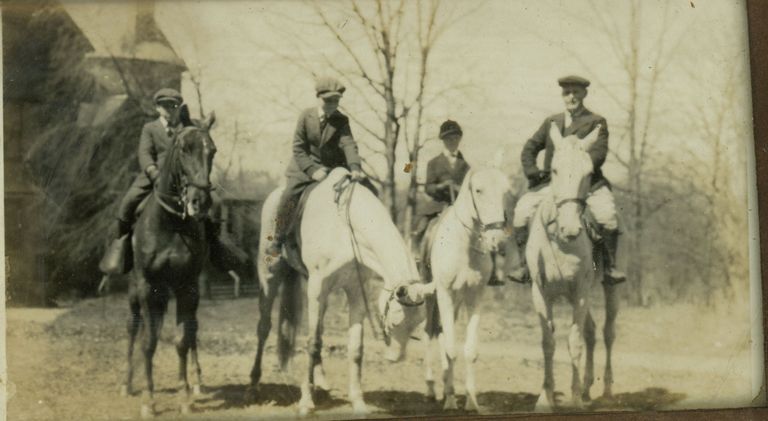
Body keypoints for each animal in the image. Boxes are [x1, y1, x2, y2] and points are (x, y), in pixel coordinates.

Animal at [121, 113, 217, 418]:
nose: (200, 201)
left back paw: (197, 382)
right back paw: (127, 383)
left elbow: (182, 340)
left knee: (193, 331)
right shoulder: (148, 287)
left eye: (212, 151)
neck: (171, 223)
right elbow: (148, 342)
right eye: (184, 149)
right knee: (133, 329)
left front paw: (184, 395)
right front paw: (149, 401)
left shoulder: (188, 288)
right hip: (136, 294)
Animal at [248, 168, 434, 416]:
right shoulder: (317, 288)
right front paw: (306, 402)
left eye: (417, 324)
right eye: (395, 321)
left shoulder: (356, 292)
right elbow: (312, 342)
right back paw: (253, 385)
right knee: (264, 327)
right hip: (270, 275)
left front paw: (358, 401)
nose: (396, 357)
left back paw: (321, 381)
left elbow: (355, 348)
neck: (345, 228)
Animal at [421, 167, 511, 412]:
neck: (465, 244)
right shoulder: (444, 293)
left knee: (441, 331)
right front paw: (451, 400)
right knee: (430, 332)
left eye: (505, 191)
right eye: (478, 190)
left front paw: (471, 401)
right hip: (434, 297)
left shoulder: (475, 296)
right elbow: (451, 348)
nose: (497, 240)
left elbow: (469, 351)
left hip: (457, 301)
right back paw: (432, 388)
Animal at [528, 122, 618, 411]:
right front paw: (545, 397)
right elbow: (548, 342)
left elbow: (574, 343)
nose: (570, 229)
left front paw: (576, 398)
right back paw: (589, 388)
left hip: (606, 290)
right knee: (591, 331)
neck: (560, 242)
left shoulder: (579, 294)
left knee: (607, 332)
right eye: (554, 170)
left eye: (589, 173)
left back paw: (605, 389)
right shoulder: (541, 294)